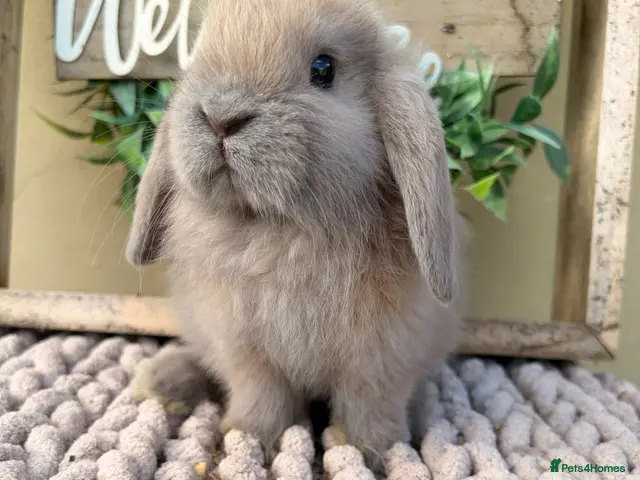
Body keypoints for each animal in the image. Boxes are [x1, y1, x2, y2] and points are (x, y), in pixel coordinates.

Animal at [125, 0, 467, 470]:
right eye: (195, 56)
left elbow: (369, 405)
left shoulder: (383, 354)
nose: (222, 117)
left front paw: (370, 451)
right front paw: (246, 437)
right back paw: (159, 382)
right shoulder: (244, 346)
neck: (278, 226)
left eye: (323, 69)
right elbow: (261, 395)